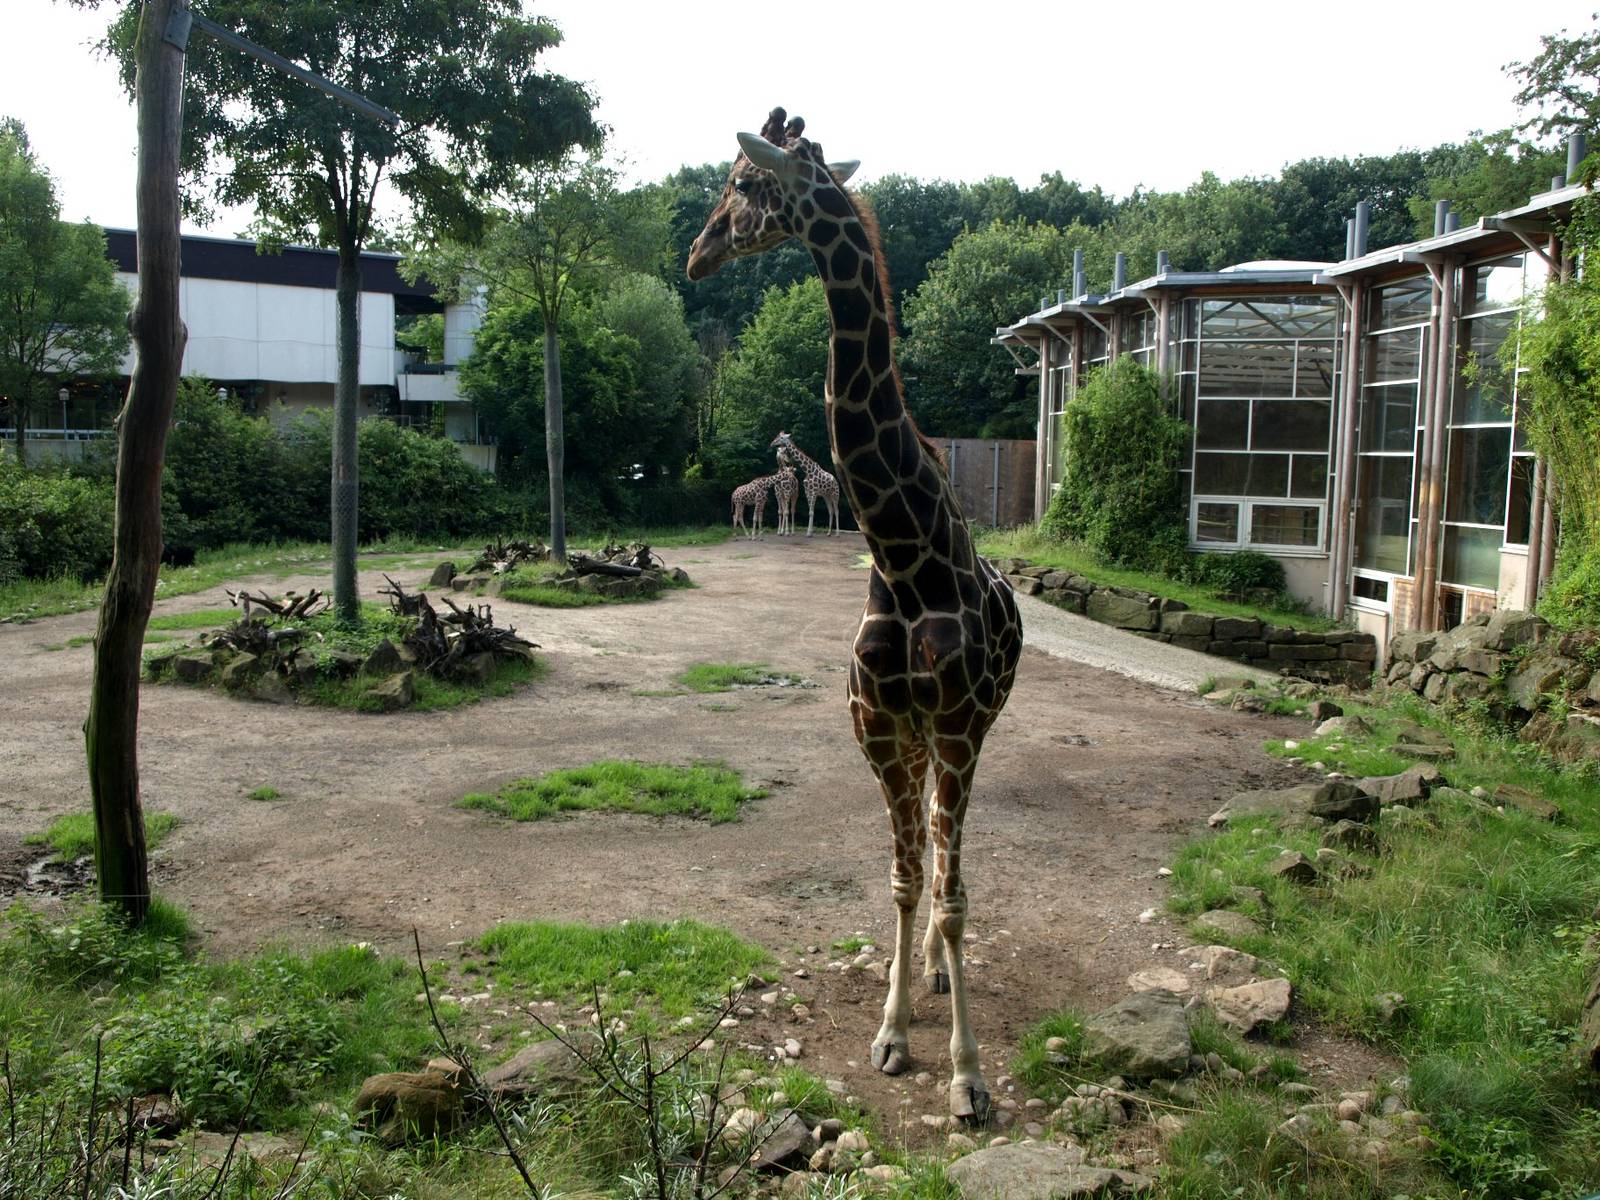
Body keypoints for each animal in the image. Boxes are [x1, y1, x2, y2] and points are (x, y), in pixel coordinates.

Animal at [688, 108, 1023, 1123]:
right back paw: (924, 982)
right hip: (909, 738)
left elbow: (950, 894)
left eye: (742, 186)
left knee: (956, 858)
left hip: (969, 733)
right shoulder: (877, 723)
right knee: (925, 852)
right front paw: (891, 1033)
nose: (696, 254)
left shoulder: (954, 723)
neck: (903, 555)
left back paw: (944, 983)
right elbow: (906, 881)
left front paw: (967, 1077)